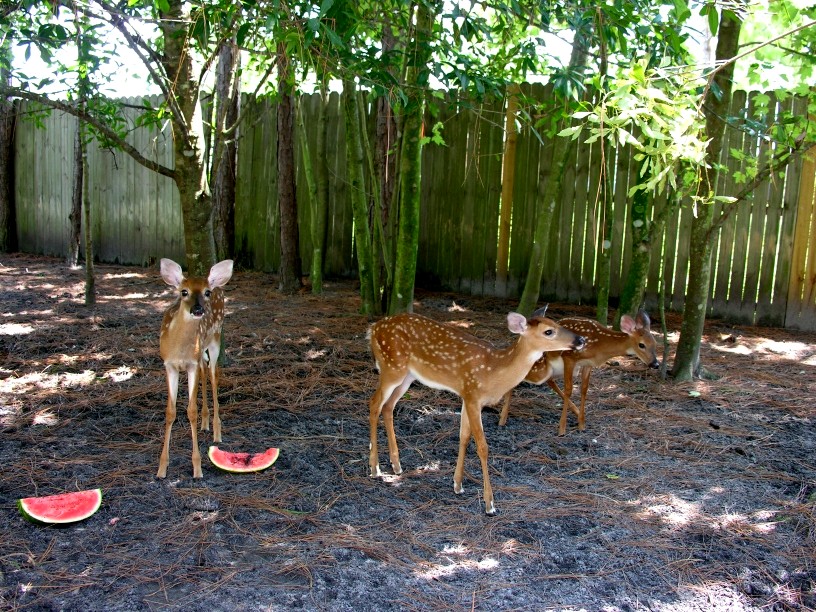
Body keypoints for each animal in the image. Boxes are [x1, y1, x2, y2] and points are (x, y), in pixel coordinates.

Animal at [156, 258, 234, 479]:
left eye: (206, 292)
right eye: (184, 291)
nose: (198, 309)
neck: (179, 348)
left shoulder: (190, 364)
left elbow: (191, 410)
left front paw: (197, 468)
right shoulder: (169, 365)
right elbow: (170, 411)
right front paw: (161, 469)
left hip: (215, 339)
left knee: (214, 375)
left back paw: (216, 431)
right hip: (201, 353)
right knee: (205, 371)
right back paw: (205, 424)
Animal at [367, 307, 586, 515]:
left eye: (556, 323)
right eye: (548, 331)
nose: (581, 340)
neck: (493, 372)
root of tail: (373, 328)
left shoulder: (466, 396)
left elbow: (463, 437)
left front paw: (457, 484)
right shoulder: (473, 395)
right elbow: (482, 446)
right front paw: (490, 504)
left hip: (407, 375)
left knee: (388, 406)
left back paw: (396, 465)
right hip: (391, 366)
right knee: (374, 403)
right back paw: (375, 468)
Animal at [498, 310, 660, 436]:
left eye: (655, 344)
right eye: (641, 345)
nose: (655, 364)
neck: (600, 345)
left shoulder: (587, 364)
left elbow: (584, 390)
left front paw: (581, 424)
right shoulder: (569, 357)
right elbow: (569, 390)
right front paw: (562, 429)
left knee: (550, 381)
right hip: (541, 369)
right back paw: (502, 419)